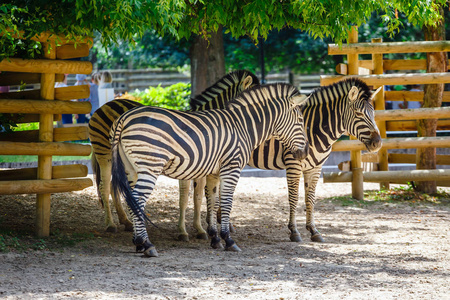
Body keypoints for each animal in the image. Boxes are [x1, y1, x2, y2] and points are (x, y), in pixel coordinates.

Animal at [88, 71, 260, 233]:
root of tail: (107, 104)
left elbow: (200, 196)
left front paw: (201, 228)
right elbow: (187, 197)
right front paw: (186, 230)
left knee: (114, 187)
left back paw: (126, 221)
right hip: (105, 155)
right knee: (104, 187)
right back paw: (110, 224)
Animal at [110, 83, 312, 256]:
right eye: (300, 120)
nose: (305, 153)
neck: (244, 127)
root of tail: (124, 118)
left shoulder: (215, 172)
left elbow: (213, 202)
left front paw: (215, 238)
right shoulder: (232, 167)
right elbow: (227, 202)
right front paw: (228, 240)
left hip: (131, 168)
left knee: (132, 199)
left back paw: (138, 243)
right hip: (150, 166)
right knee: (138, 199)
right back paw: (147, 244)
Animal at [180, 77, 384, 241]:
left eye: (373, 113)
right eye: (359, 114)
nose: (378, 143)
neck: (315, 128)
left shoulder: (315, 168)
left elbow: (310, 199)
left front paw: (314, 231)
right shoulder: (294, 164)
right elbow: (293, 198)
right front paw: (294, 231)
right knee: (204, 191)